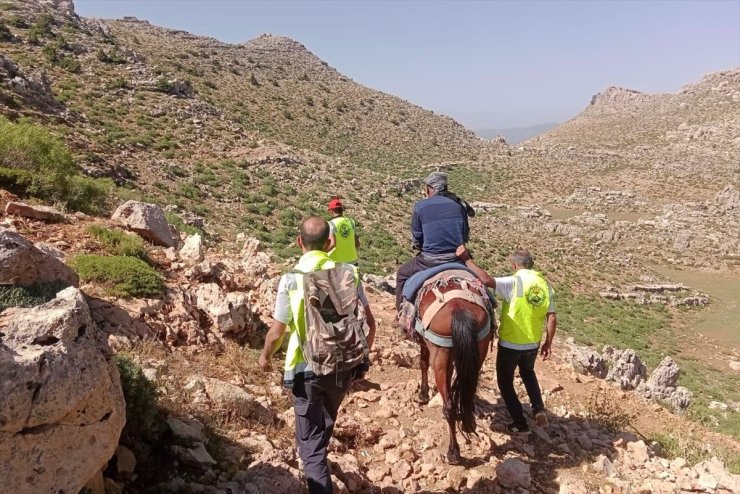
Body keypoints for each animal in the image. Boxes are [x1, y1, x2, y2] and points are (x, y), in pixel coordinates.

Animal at [414, 280, 494, 466]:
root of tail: (458, 307)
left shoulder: (424, 342)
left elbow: (423, 363)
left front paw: (423, 394)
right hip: (479, 349)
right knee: (468, 391)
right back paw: (468, 422)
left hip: (440, 356)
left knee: (449, 406)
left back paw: (453, 452)